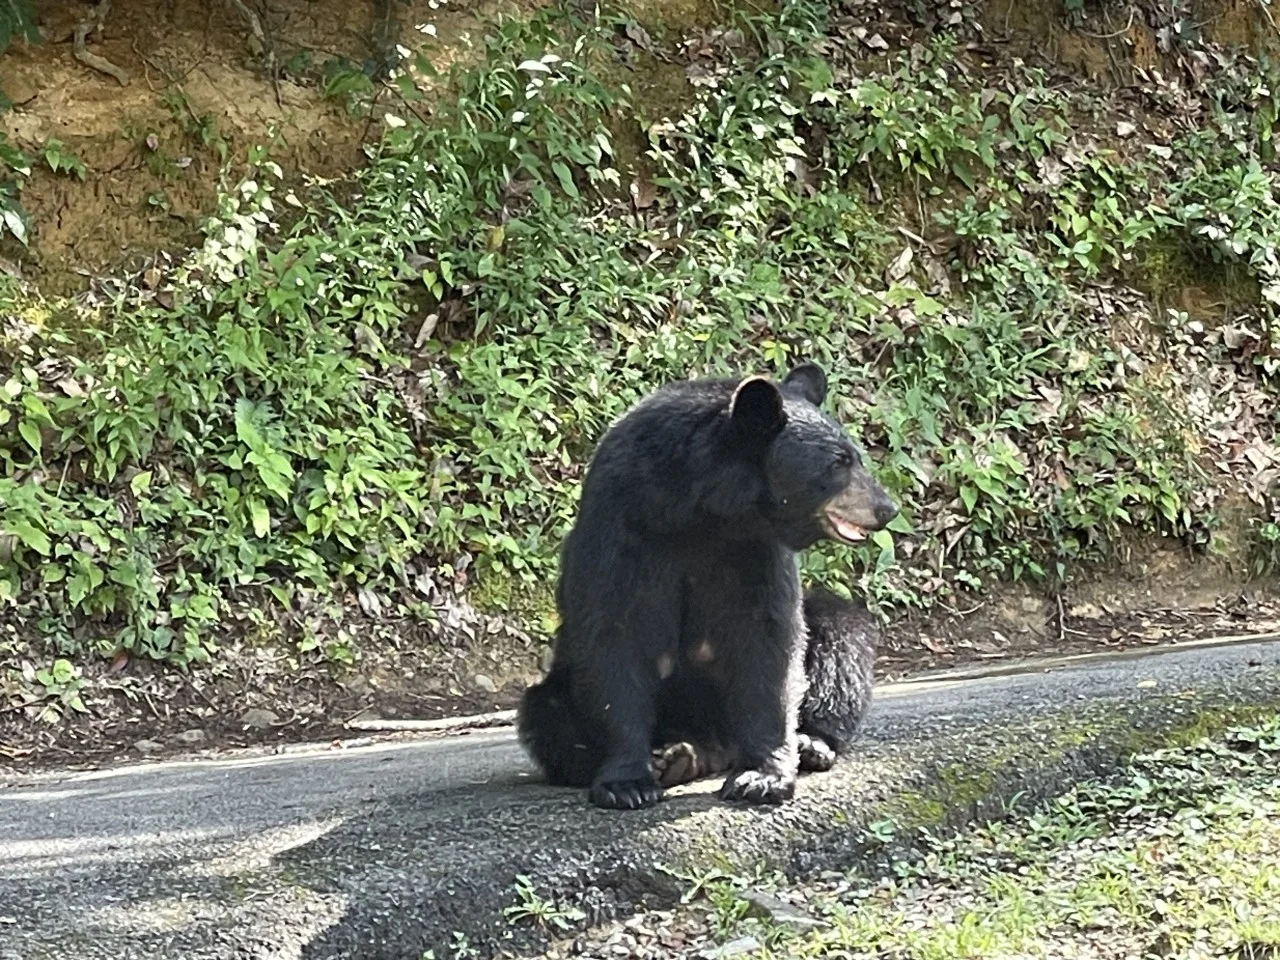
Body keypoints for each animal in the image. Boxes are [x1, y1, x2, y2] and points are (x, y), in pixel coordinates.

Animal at [516, 361, 898, 810]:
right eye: (838, 464)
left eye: (856, 458)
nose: (887, 508)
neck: (704, 515)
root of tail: (718, 745)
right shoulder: (620, 529)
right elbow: (614, 636)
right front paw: (626, 784)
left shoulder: (754, 551)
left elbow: (769, 639)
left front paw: (762, 778)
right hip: (557, 695)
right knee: (548, 714)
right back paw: (677, 758)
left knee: (839, 643)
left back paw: (809, 743)